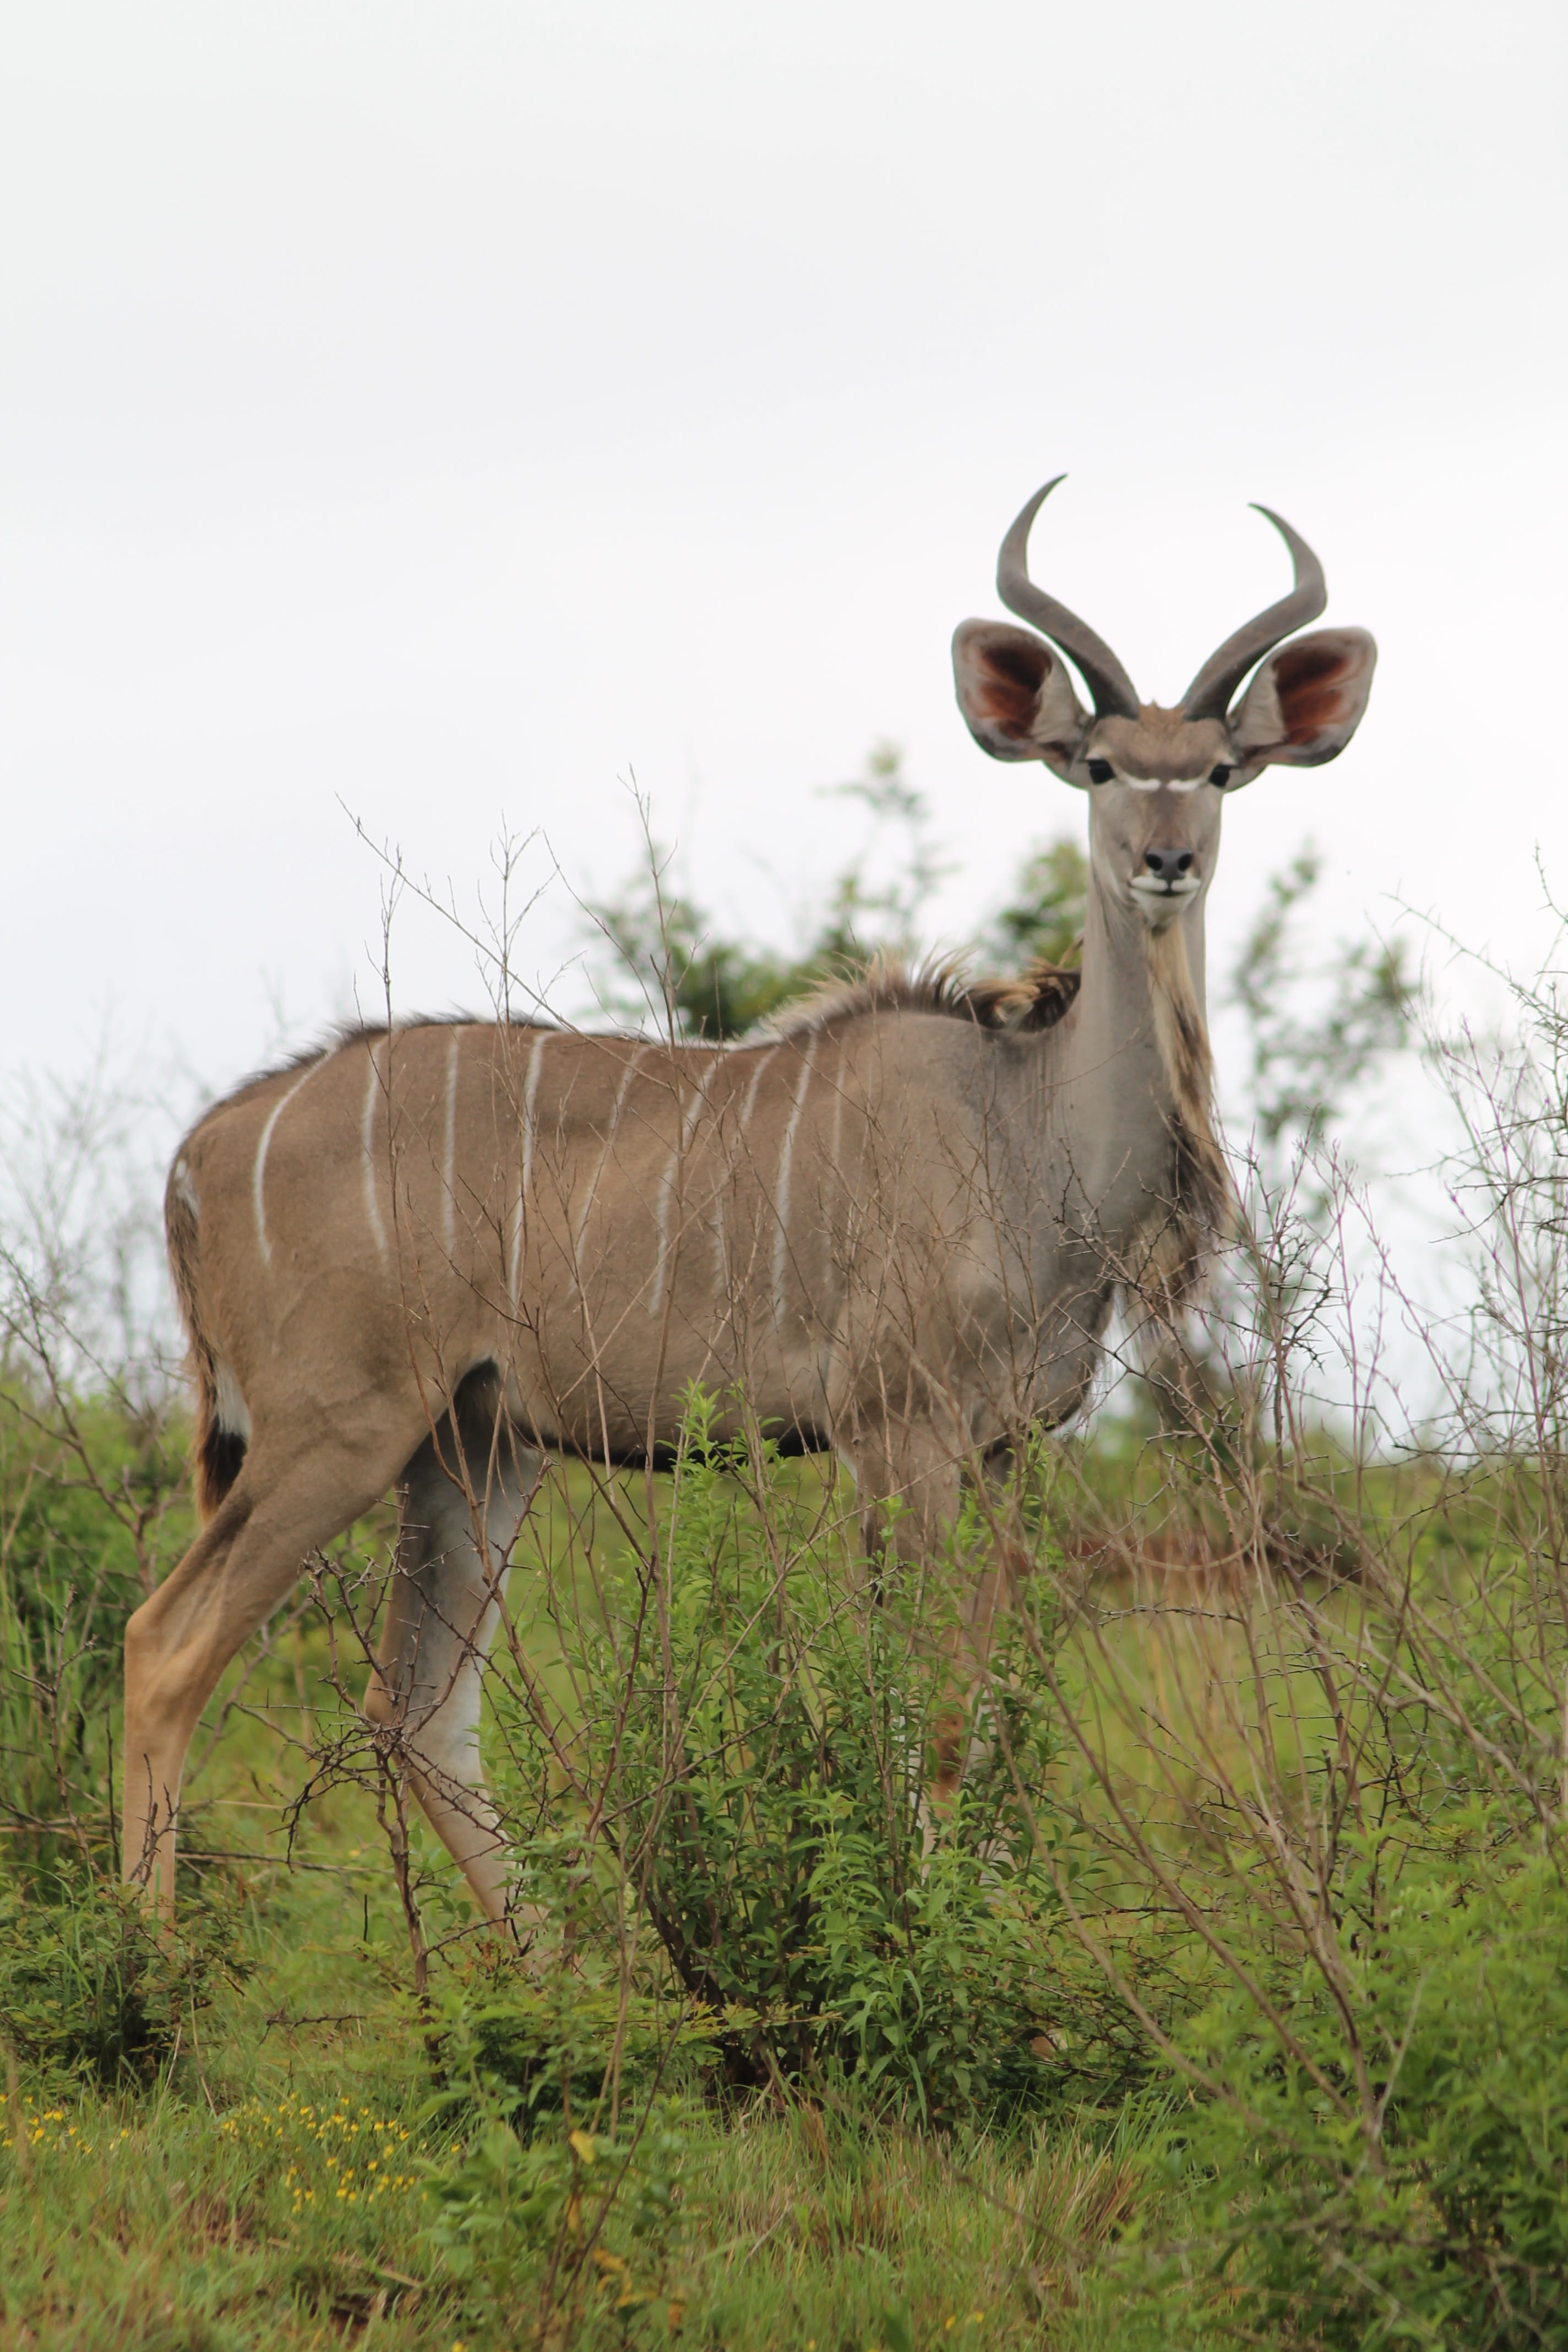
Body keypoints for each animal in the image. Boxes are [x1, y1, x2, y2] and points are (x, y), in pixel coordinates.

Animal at [124, 478, 1376, 1919]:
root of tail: (202, 1150)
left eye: (1218, 770)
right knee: (167, 1648)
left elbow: (975, 1709)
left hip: (475, 1444)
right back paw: (148, 1963)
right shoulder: (895, 1436)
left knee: (417, 1711)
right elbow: (915, 1715)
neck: (1024, 1127)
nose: (1165, 861)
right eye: (1101, 764)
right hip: (336, 1429)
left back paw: (558, 1963)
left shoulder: (1008, 1450)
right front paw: (918, 1934)